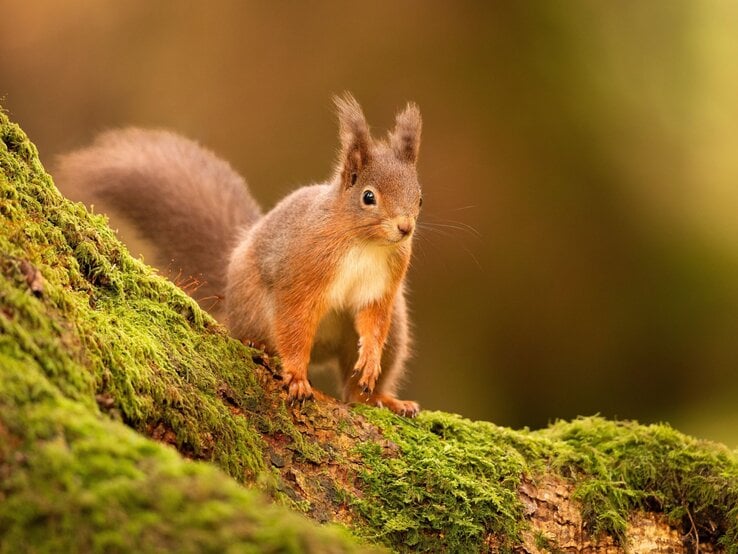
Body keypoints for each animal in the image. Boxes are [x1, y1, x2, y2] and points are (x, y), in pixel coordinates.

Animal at [57, 95, 422, 414]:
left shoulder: (384, 283)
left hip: (397, 327)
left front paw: (370, 359)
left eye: (419, 198)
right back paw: (259, 346)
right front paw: (296, 376)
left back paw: (384, 399)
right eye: (368, 197)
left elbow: (373, 321)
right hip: (253, 306)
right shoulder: (302, 272)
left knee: (355, 389)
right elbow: (295, 323)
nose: (405, 228)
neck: (363, 242)